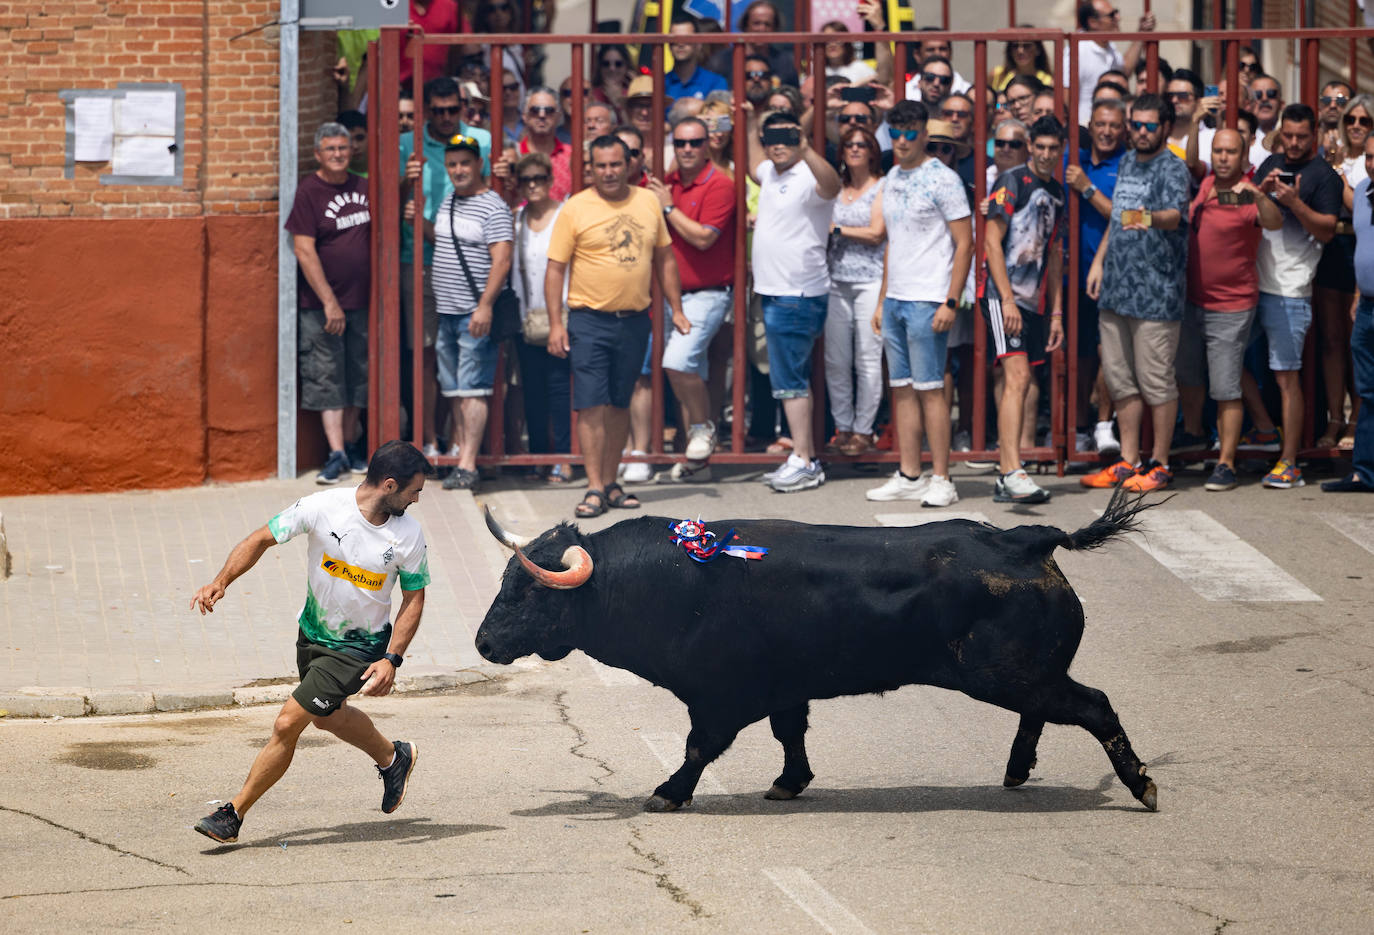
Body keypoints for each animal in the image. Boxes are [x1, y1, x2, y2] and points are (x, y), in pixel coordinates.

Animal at [472, 489, 1159, 808]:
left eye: (527, 593)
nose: (482, 643)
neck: (670, 581)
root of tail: (1026, 540)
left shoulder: (720, 697)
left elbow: (699, 747)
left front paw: (668, 792)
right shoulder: (784, 688)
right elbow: (790, 733)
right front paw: (788, 782)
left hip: (1007, 672)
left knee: (1092, 705)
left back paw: (1141, 786)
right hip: (1020, 672)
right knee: (1043, 710)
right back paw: (1017, 771)